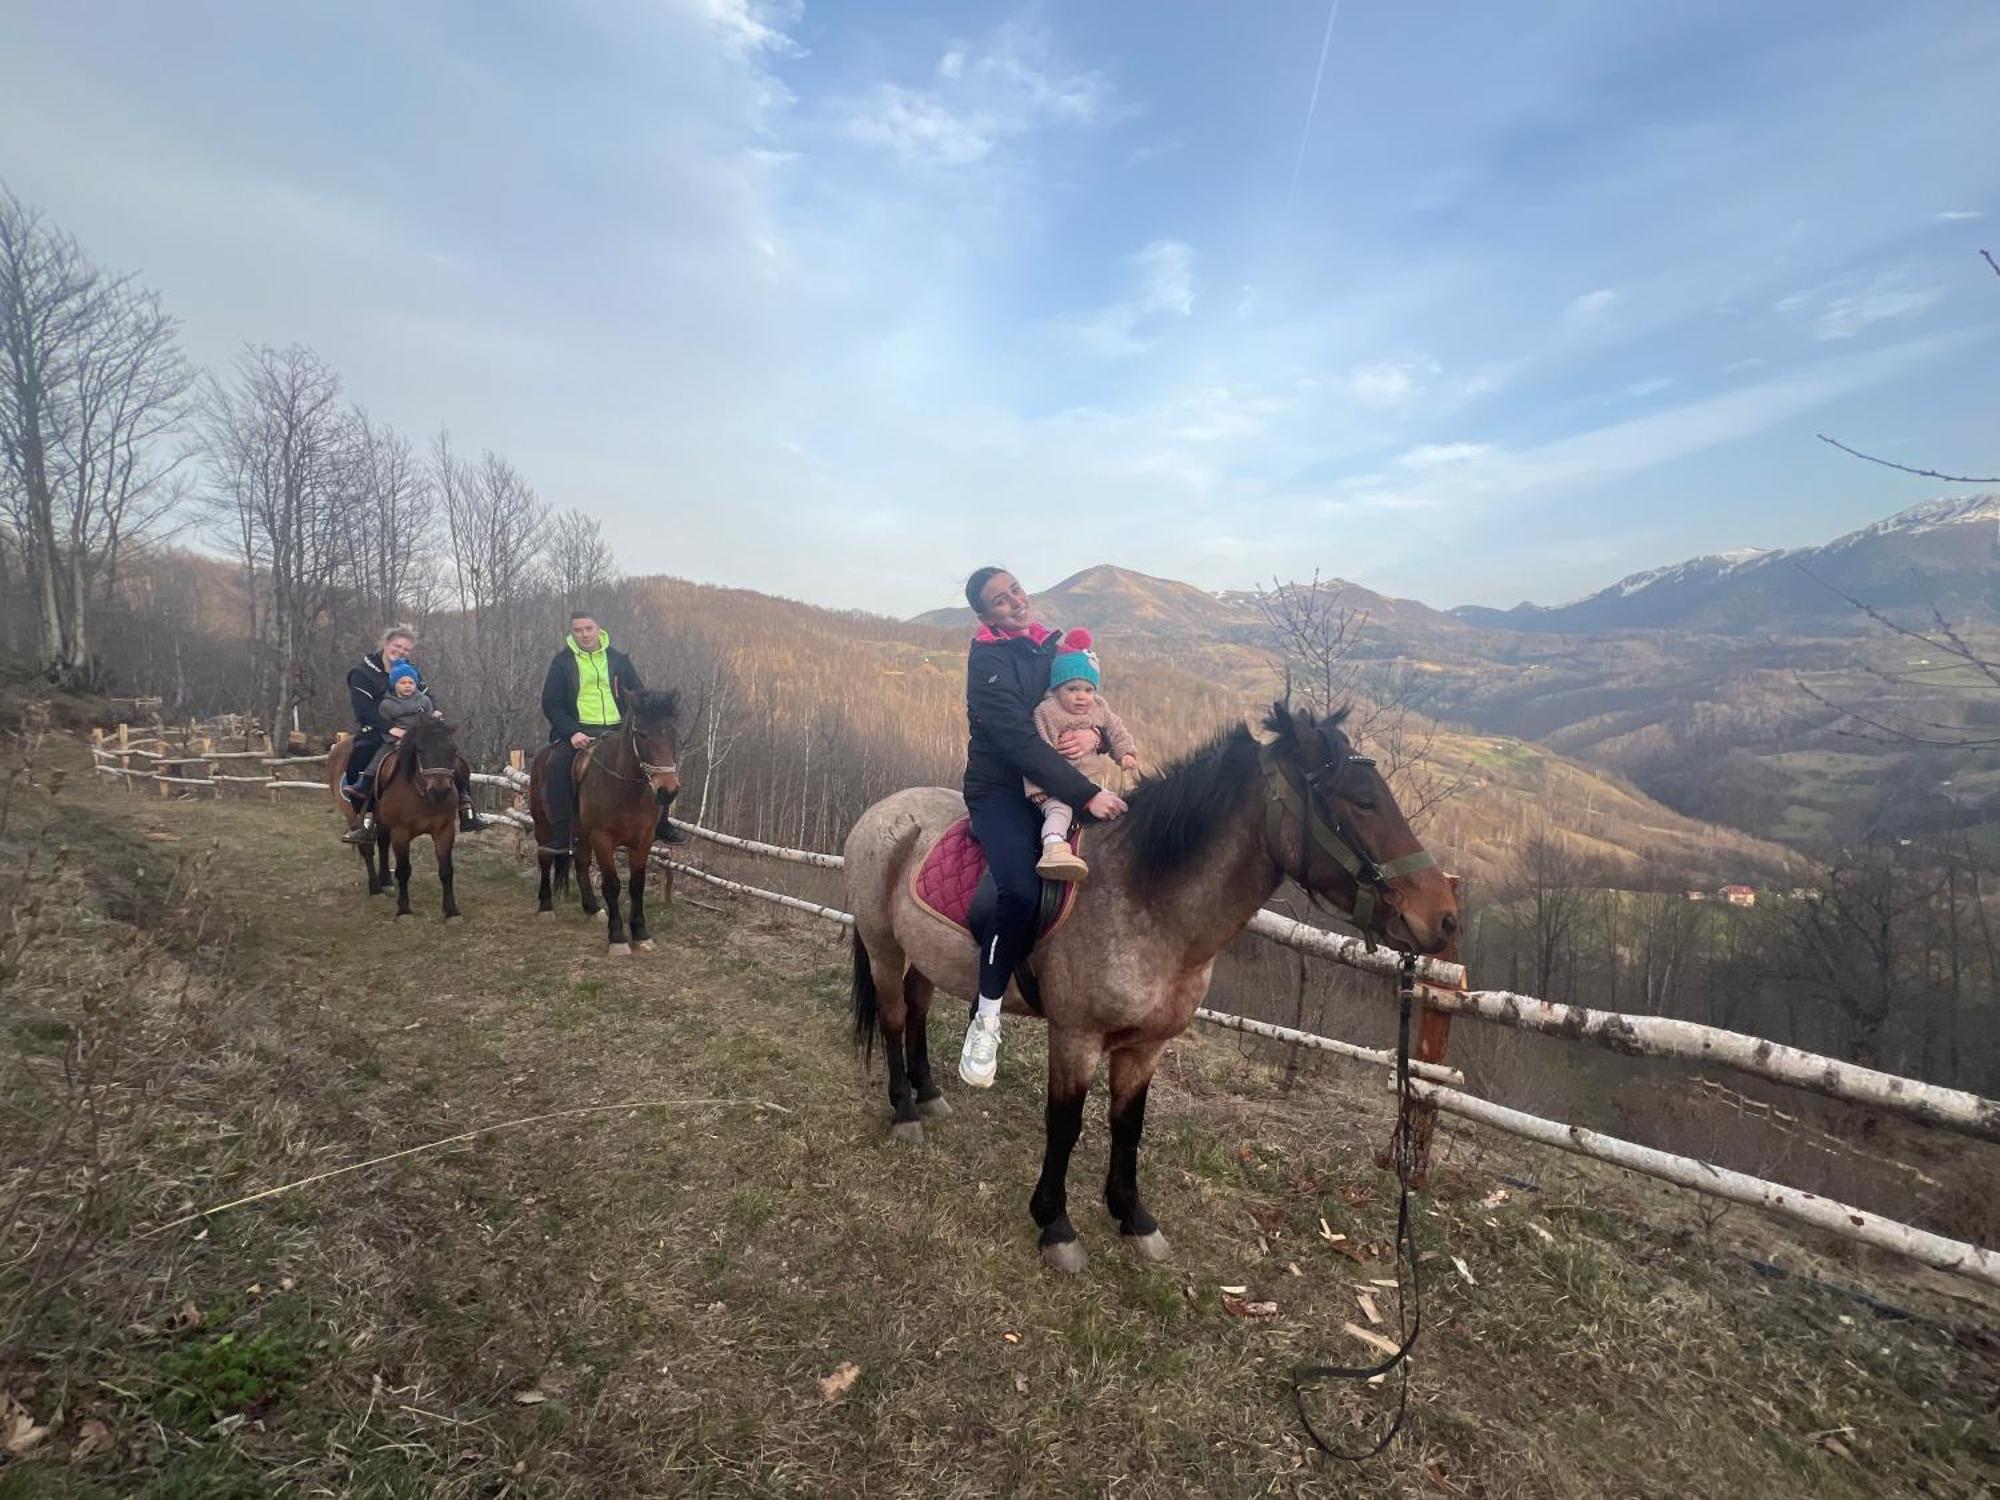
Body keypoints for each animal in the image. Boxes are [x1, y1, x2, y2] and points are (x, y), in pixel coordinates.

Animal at [326, 724, 470, 924]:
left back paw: (385, 882)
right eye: (420, 749)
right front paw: (404, 910)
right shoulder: (401, 833)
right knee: (367, 849)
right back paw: (375, 888)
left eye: (453, 749)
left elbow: (446, 870)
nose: (440, 791)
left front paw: (452, 912)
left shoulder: (444, 831)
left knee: (382, 844)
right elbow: (403, 870)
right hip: (354, 817)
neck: (421, 793)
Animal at [528, 692, 684, 956]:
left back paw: (591, 908)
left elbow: (637, 884)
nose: (667, 791)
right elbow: (611, 884)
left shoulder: (643, 840)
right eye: (641, 734)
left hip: (582, 834)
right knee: (545, 857)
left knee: (580, 864)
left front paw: (641, 933)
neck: (624, 788)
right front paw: (618, 937)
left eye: (673, 733)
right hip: (544, 825)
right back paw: (546, 905)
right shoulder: (602, 839)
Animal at [840, 712, 1456, 1272]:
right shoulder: (1076, 1037)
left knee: (917, 1010)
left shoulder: (1147, 1046)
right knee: (893, 1018)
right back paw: (905, 1112)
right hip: (884, 945)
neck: (1146, 898)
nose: (1445, 918)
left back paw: (929, 1093)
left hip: (928, 955)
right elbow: (1064, 1125)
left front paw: (1132, 1217)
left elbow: (1128, 1125)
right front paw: (1055, 1225)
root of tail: (883, 810)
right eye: (1362, 801)